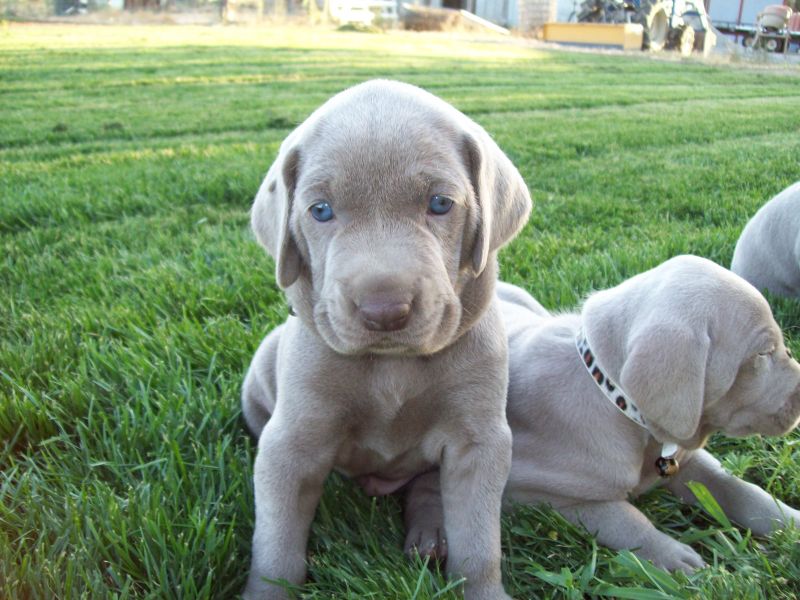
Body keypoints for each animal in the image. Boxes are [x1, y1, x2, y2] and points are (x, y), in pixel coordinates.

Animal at [241, 79, 531, 599]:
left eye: (440, 203)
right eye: (320, 211)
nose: (384, 311)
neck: (392, 365)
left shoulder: (479, 442)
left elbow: (478, 542)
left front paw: (483, 590)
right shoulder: (290, 444)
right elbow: (276, 547)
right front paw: (266, 592)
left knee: (427, 486)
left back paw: (429, 534)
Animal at [496, 255, 800, 572]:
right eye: (762, 353)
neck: (615, 400)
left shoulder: (686, 459)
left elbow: (737, 487)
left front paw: (789, 522)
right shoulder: (536, 495)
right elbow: (624, 519)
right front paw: (677, 559)